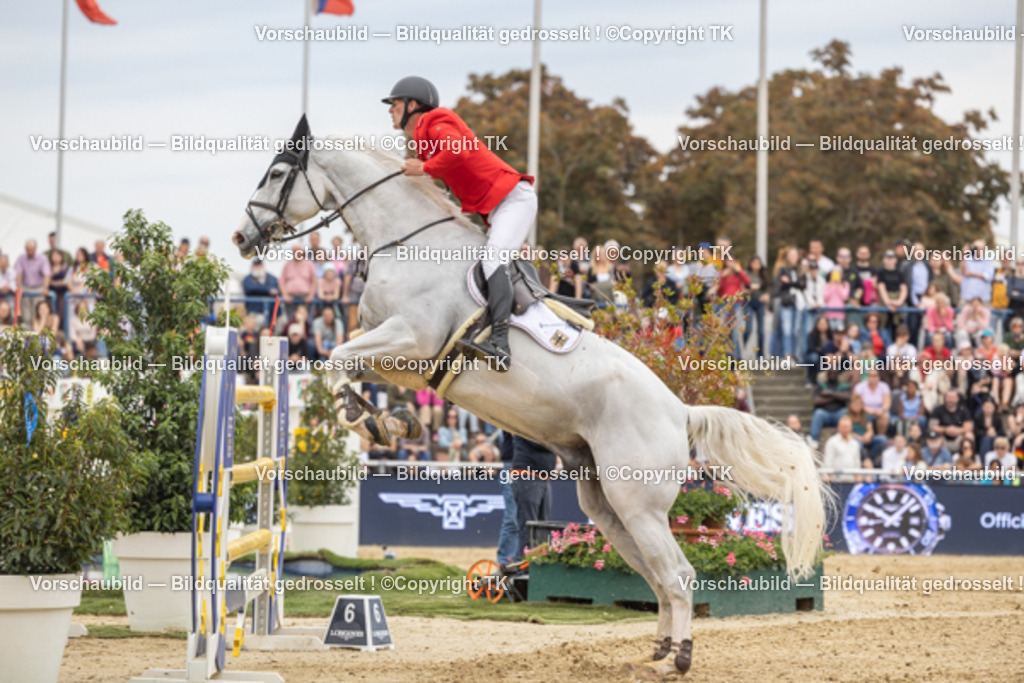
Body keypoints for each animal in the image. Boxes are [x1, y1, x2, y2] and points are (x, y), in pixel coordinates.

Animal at [233, 117, 831, 675]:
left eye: (278, 174)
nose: (241, 237)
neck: (408, 241)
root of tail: (680, 410)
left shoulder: (412, 341)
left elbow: (335, 359)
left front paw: (368, 420)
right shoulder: (402, 362)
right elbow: (342, 362)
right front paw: (394, 422)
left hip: (638, 503)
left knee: (679, 576)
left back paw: (679, 658)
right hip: (607, 505)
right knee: (656, 576)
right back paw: (658, 649)